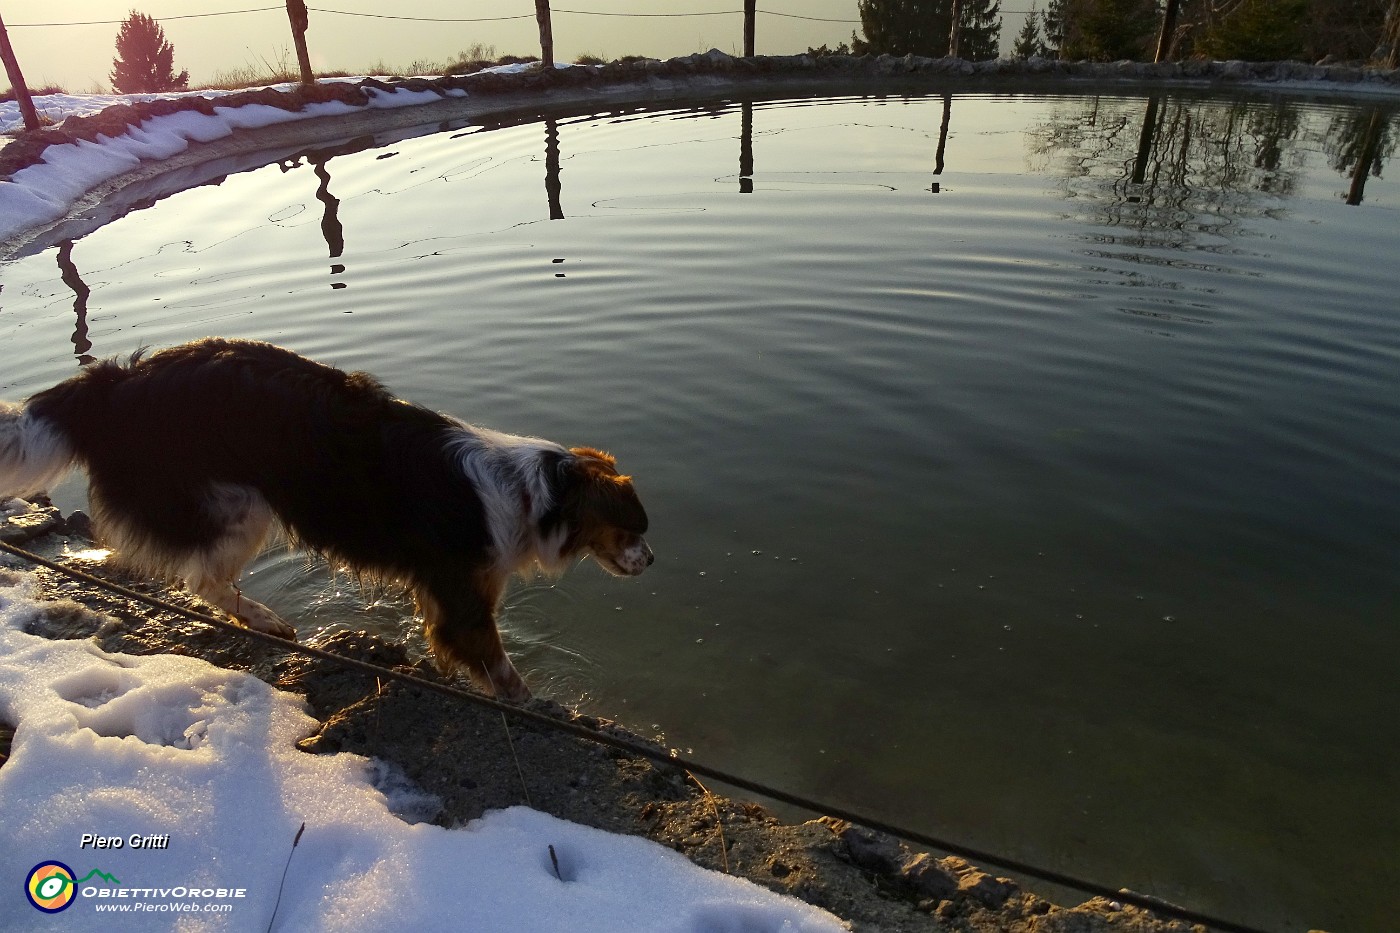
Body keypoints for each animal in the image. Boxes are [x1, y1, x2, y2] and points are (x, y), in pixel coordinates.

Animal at [0, 336, 655, 697]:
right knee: (201, 578)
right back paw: (265, 620)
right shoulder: (461, 599)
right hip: (239, 505)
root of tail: (115, 382)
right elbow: (495, 661)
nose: (652, 561)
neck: (533, 494)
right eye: (632, 529)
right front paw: (530, 701)